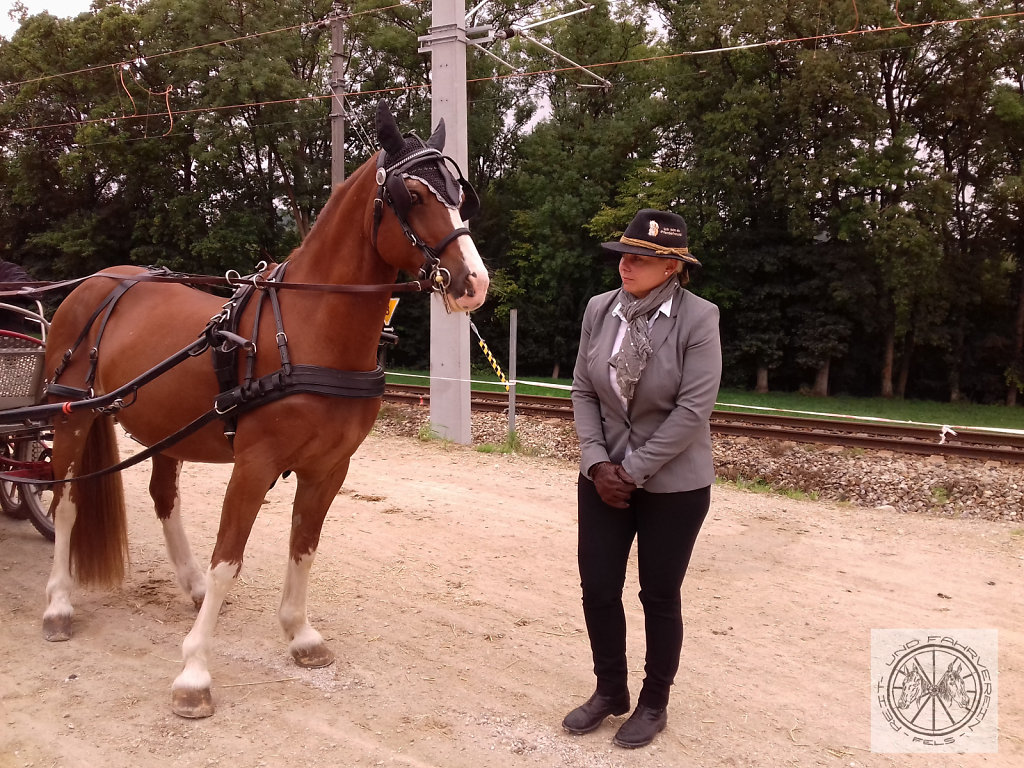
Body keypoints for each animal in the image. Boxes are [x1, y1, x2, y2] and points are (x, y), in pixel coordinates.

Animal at [39, 99, 487, 720]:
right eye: (413, 196)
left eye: (459, 194)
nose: (475, 283)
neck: (307, 329)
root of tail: (98, 283)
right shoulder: (254, 465)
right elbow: (229, 557)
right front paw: (195, 672)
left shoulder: (329, 468)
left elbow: (304, 547)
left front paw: (300, 634)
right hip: (75, 416)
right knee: (65, 504)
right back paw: (58, 603)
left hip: (165, 428)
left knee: (162, 497)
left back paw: (191, 585)